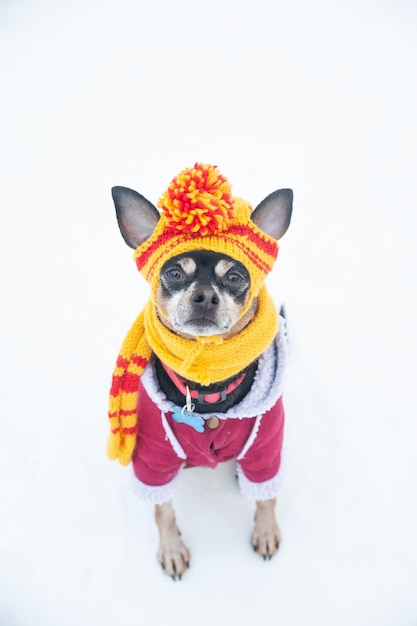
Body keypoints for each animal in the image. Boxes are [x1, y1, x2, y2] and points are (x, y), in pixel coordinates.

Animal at [109, 162, 290, 580]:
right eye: (174, 273)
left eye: (235, 277)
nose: (205, 295)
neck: (207, 387)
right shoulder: (153, 459)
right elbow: (162, 511)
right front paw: (172, 549)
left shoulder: (267, 447)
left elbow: (267, 498)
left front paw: (266, 531)